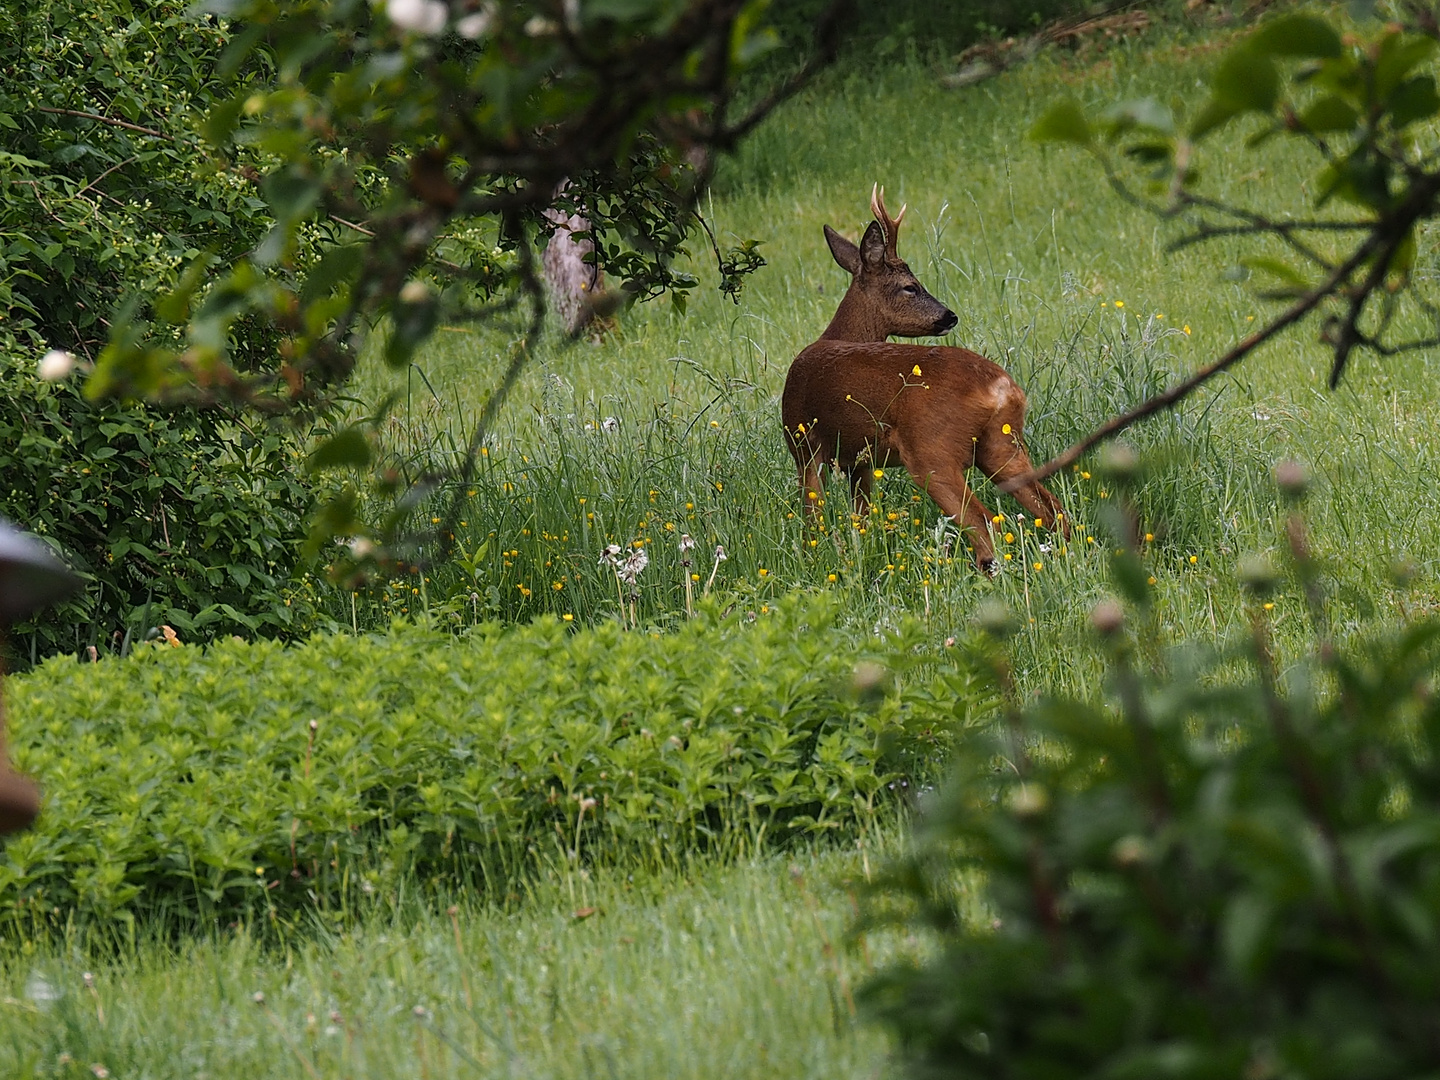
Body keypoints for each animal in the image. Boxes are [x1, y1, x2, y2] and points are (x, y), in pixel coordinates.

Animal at [777, 185, 1071, 576]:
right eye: (910, 287)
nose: (949, 316)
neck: (834, 336)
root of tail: (1003, 389)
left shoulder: (805, 444)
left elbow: (813, 518)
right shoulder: (860, 461)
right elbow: (862, 518)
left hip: (931, 450)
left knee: (984, 520)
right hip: (1002, 445)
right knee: (1052, 509)